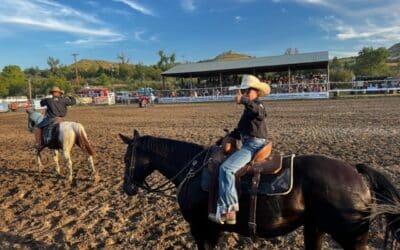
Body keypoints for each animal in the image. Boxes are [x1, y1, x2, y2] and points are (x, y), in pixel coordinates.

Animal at [119, 130, 400, 249]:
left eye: (126, 158)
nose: (126, 188)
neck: (194, 170)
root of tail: (355, 172)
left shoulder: (201, 229)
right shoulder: (212, 230)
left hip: (351, 237)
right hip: (315, 229)